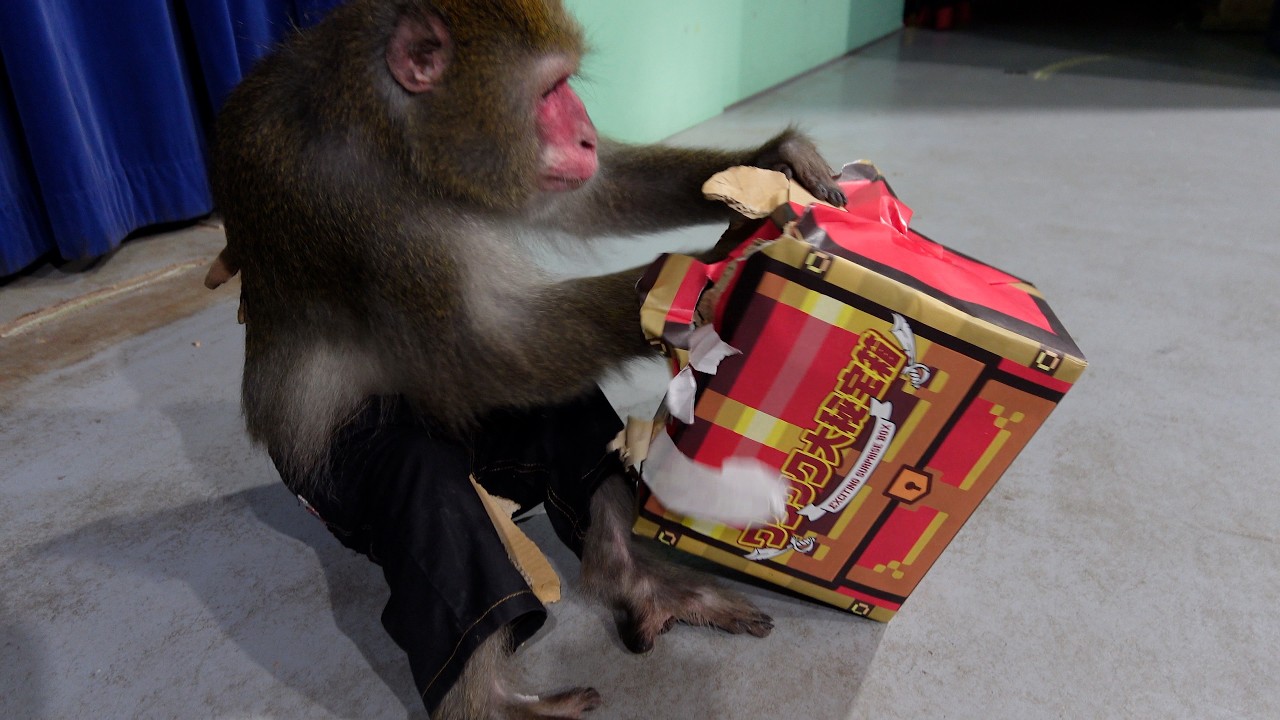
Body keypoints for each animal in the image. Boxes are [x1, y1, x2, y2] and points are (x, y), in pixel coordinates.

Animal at [206, 1, 846, 717]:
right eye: (548, 91)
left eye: (567, 85)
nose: (587, 137)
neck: (389, 130)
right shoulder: (355, 206)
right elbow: (489, 351)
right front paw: (716, 275)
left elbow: (591, 197)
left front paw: (774, 162)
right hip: (338, 488)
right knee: (430, 497)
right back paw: (491, 702)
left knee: (565, 418)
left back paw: (634, 580)